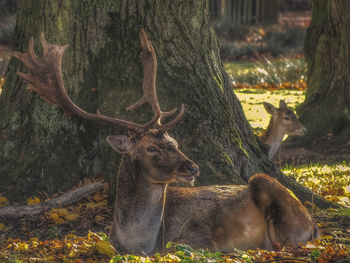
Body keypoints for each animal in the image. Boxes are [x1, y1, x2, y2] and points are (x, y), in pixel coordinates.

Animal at [14, 30, 318, 256]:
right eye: (151, 148)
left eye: (175, 140)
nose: (192, 168)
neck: (142, 244)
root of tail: (313, 222)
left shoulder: (200, 241)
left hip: (270, 193)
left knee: (283, 238)